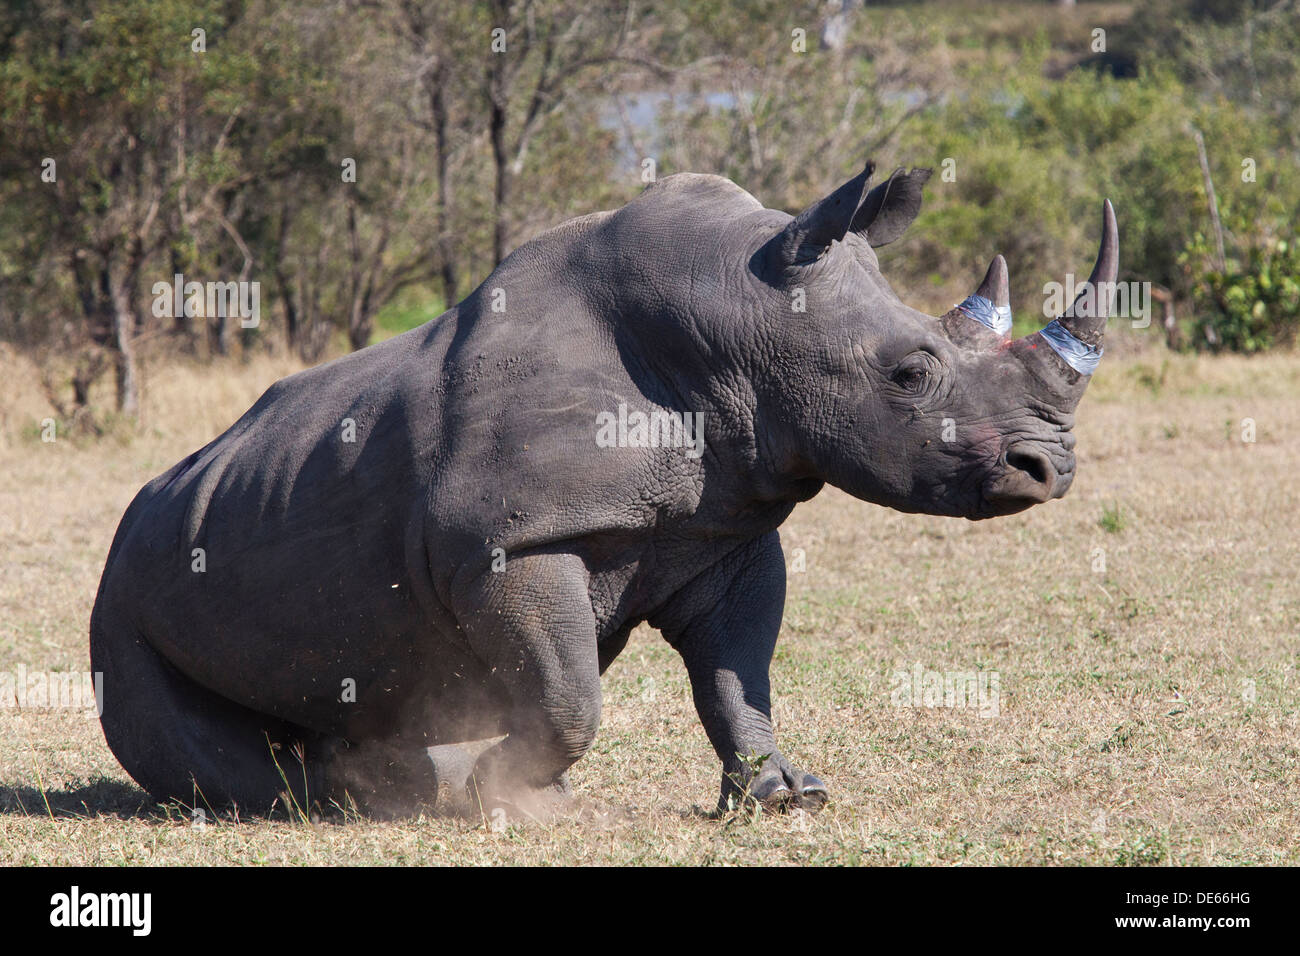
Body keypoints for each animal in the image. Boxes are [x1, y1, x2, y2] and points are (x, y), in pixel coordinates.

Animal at [89, 160, 1118, 816]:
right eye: (909, 374)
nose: (1049, 469)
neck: (734, 318)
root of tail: (135, 512)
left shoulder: (726, 528)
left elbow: (736, 676)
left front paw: (785, 796)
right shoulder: (508, 544)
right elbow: (569, 696)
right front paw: (504, 799)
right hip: (121, 591)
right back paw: (352, 799)